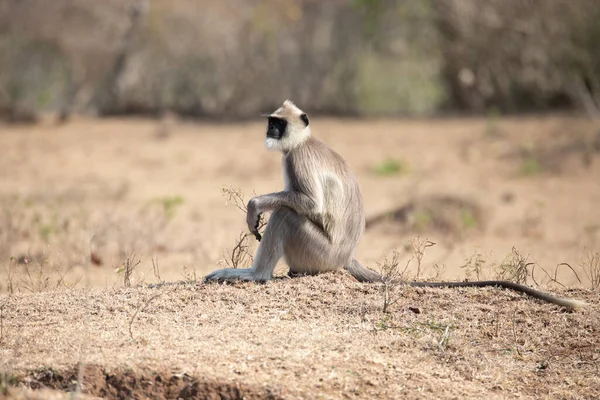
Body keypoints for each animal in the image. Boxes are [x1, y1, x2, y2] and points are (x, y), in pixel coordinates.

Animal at [204, 99, 588, 310]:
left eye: (278, 124)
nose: (270, 131)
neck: (304, 141)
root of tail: (346, 257)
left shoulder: (296, 158)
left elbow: (309, 204)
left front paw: (255, 207)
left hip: (317, 252)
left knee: (287, 215)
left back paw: (255, 274)